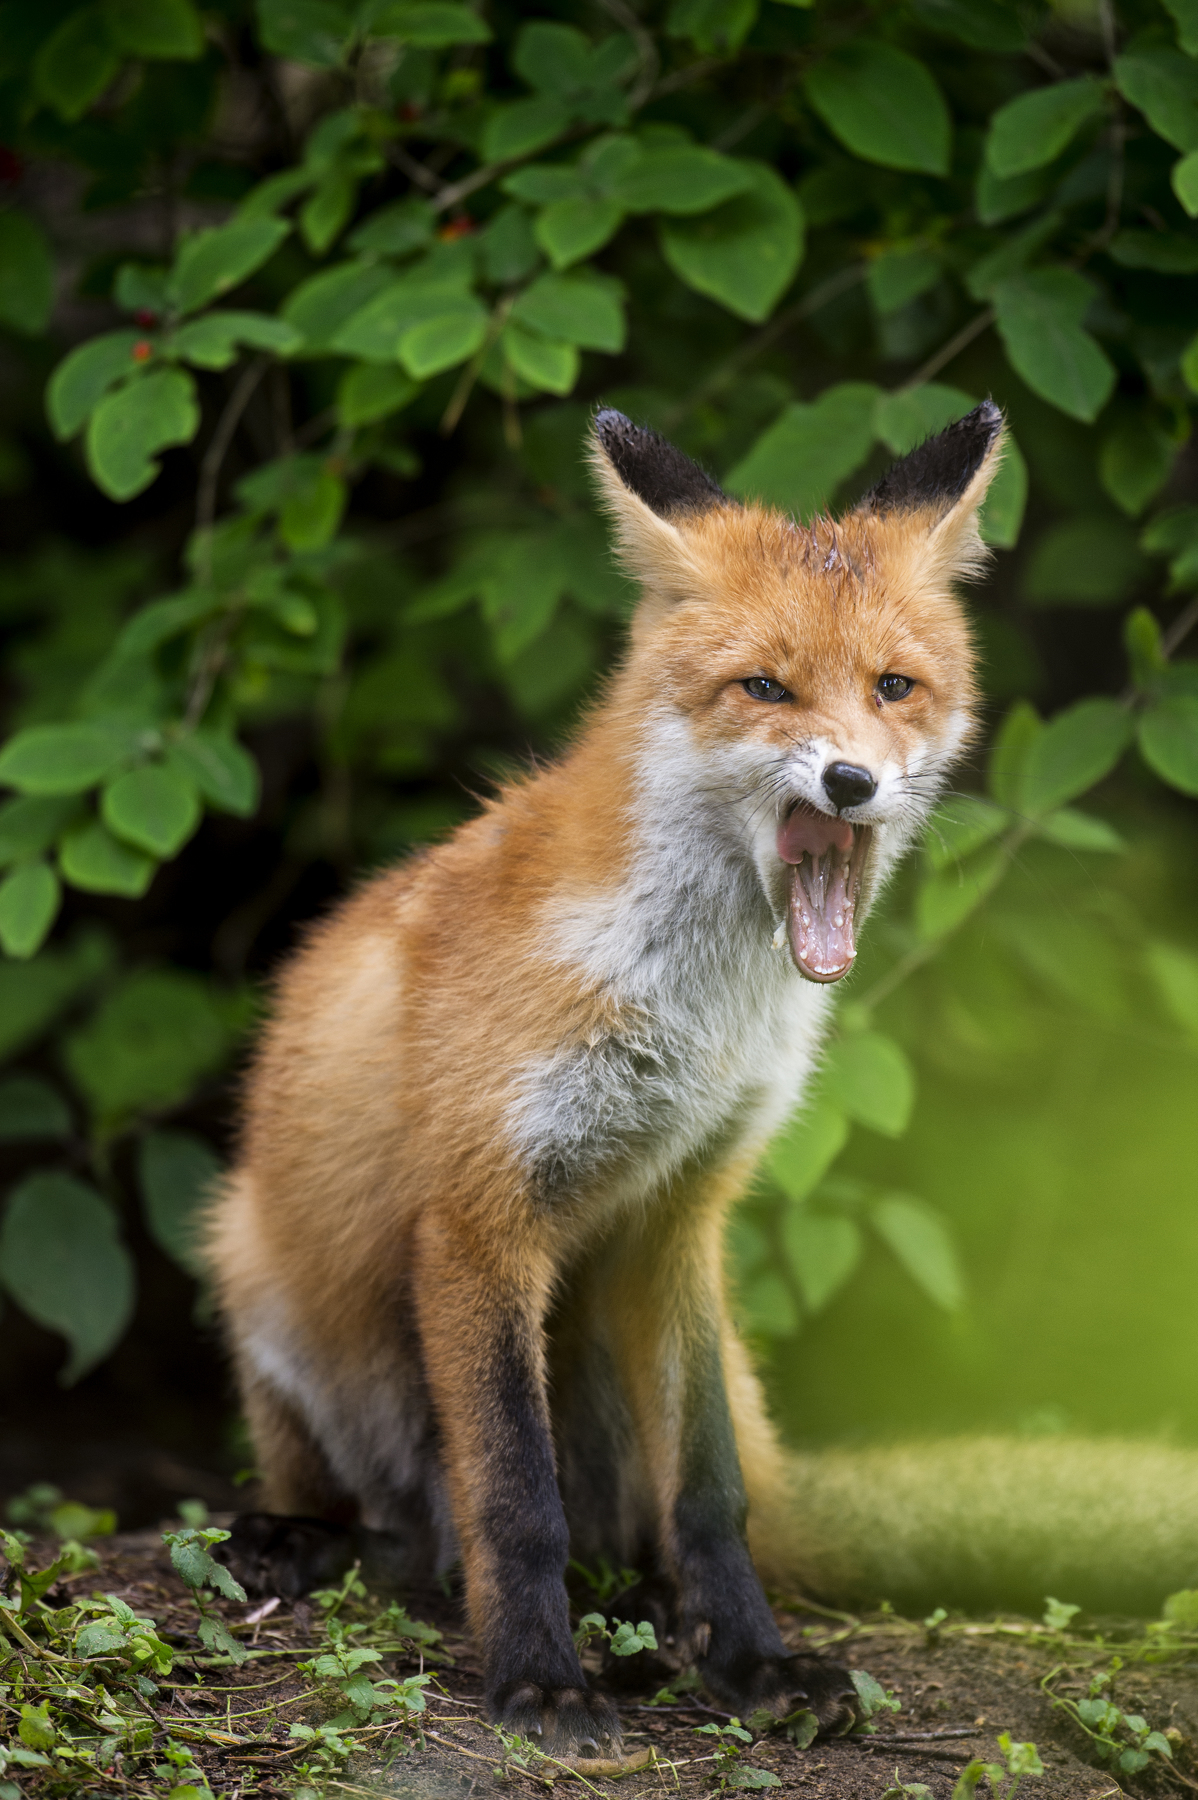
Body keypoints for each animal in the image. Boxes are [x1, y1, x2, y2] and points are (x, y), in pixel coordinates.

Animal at [205, 397, 1000, 1756]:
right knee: (405, 1528)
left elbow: (711, 1493)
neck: (691, 1010)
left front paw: (751, 1663)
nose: (849, 781)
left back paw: (642, 1615)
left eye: (893, 688)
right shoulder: (479, 1214)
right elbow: (514, 1495)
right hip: (263, 1278)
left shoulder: (679, 1216)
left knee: (621, 1527)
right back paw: (310, 1542)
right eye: (764, 687)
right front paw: (536, 1681)